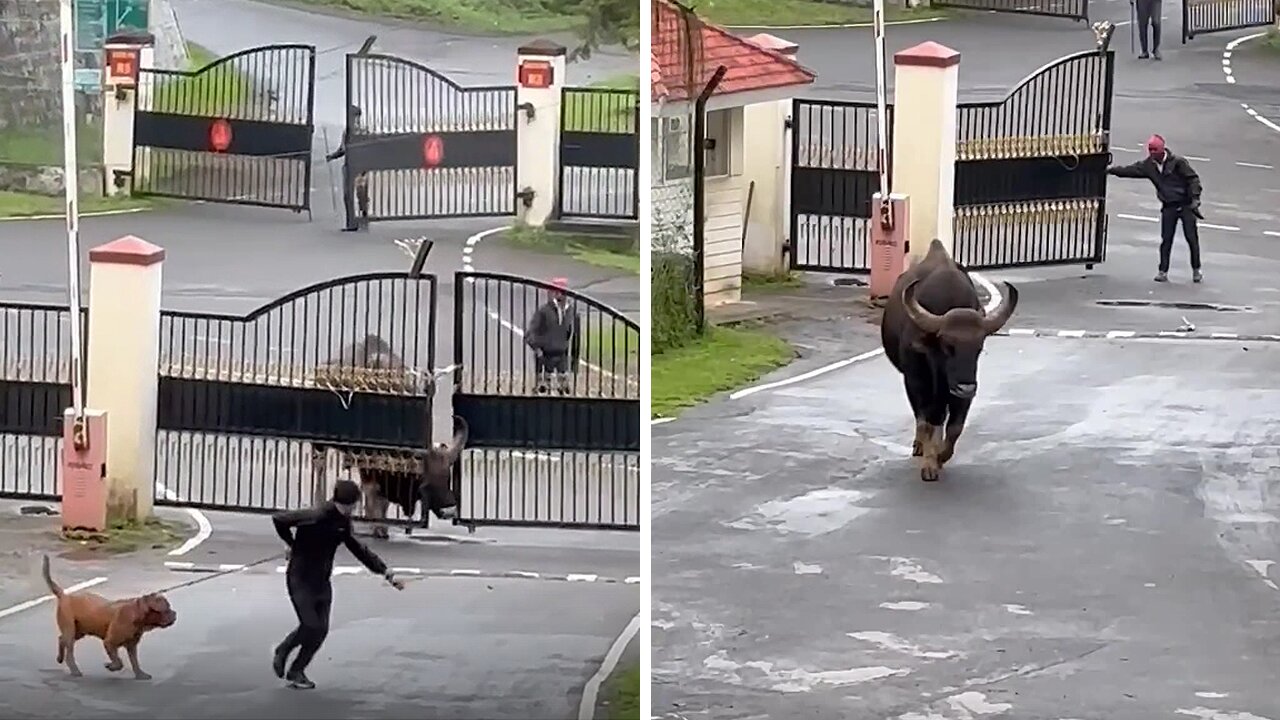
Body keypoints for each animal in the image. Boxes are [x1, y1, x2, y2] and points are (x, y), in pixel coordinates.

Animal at [41, 550, 176, 676]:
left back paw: (60, 658)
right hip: (70, 629)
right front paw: (111, 666)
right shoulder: (109, 642)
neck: (137, 613)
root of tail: (64, 595)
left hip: (79, 630)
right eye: (166, 609)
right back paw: (75, 670)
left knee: (61, 638)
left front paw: (140, 674)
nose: (175, 613)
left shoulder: (132, 646)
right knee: (69, 650)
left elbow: (135, 661)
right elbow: (119, 661)